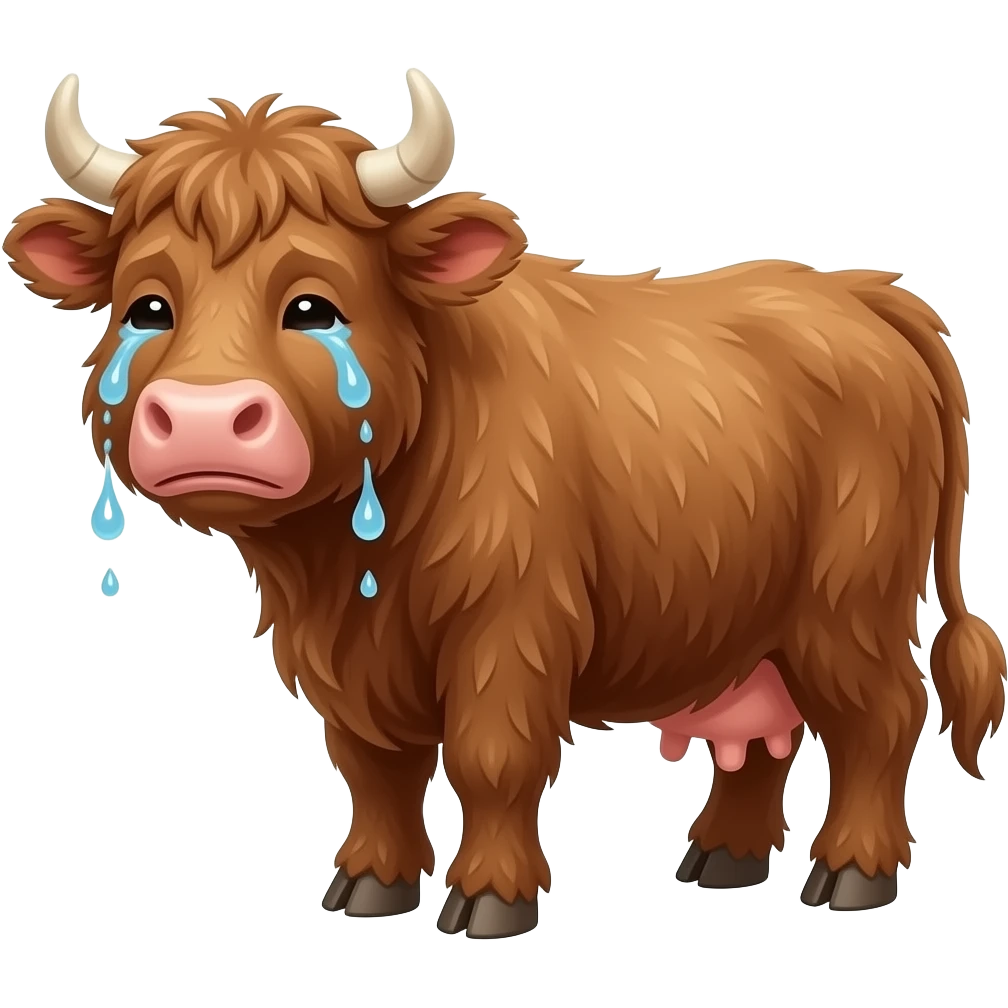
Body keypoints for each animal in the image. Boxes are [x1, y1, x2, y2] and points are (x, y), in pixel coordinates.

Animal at [4, 69, 1005, 938]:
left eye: (314, 307)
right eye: (147, 307)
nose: (205, 419)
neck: (347, 562)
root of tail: (862, 292)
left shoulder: (512, 626)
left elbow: (491, 758)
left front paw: (490, 899)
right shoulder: (341, 661)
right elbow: (373, 768)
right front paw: (369, 884)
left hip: (845, 603)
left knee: (882, 716)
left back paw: (853, 873)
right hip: (753, 618)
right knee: (770, 730)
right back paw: (723, 859)